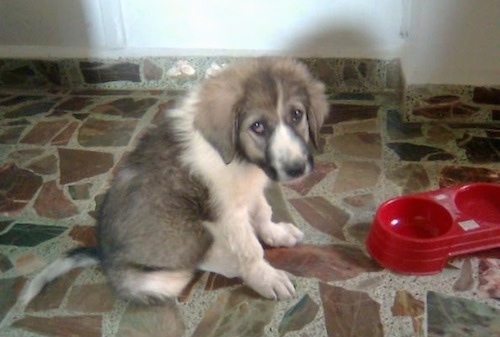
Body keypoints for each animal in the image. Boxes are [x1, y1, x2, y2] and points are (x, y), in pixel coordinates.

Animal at [21, 57, 330, 304]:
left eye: (297, 114)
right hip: (171, 263)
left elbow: (263, 212)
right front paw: (265, 278)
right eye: (257, 126)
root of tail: (104, 259)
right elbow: (249, 249)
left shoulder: (249, 192)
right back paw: (226, 261)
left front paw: (276, 233)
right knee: (194, 261)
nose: (296, 168)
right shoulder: (225, 213)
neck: (240, 159)